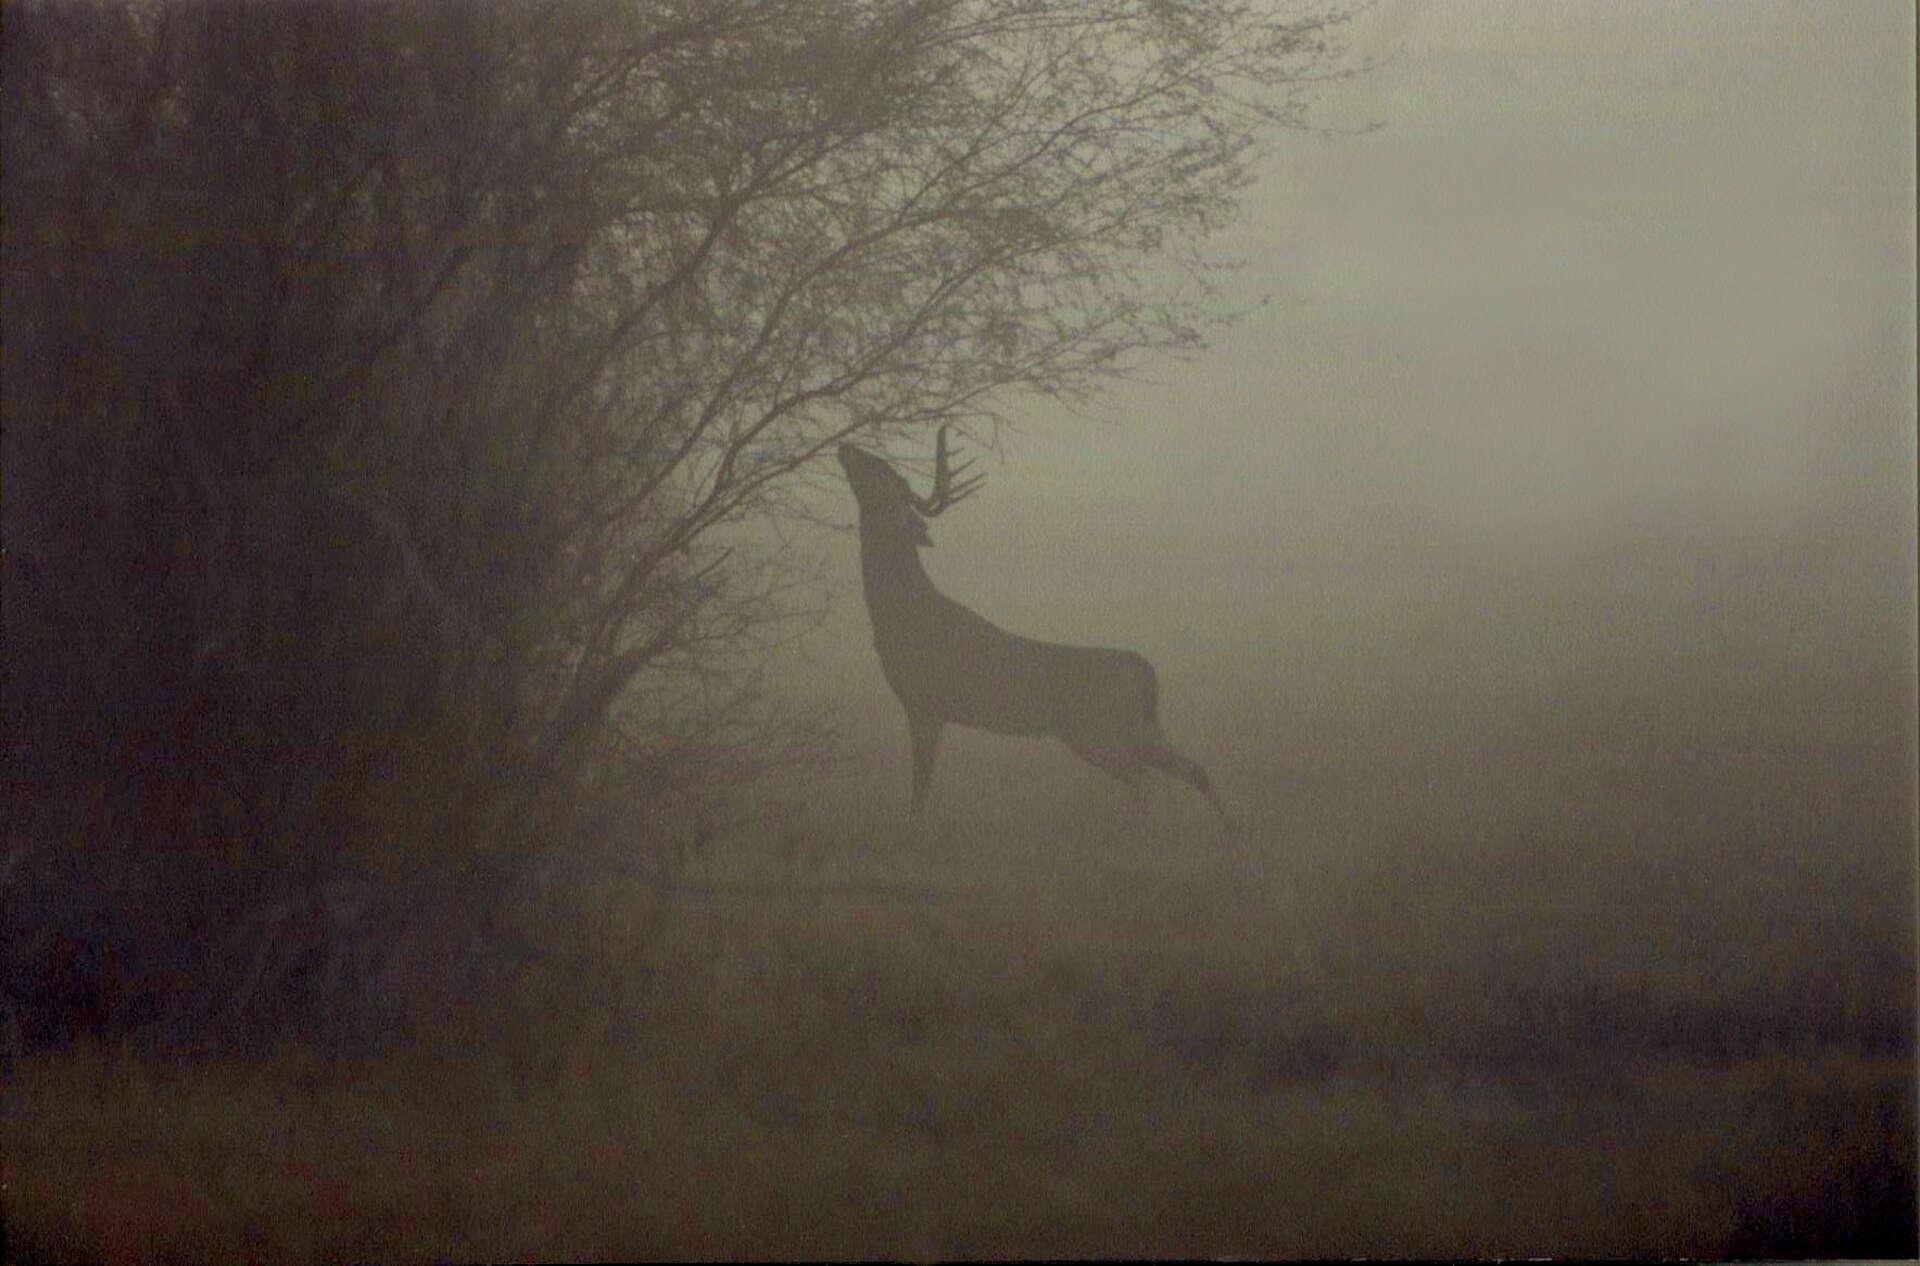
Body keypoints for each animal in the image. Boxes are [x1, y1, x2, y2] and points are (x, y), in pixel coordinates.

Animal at [837, 427, 1227, 826]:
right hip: (1137, 727)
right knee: (1193, 769)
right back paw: (1230, 833)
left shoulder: (925, 702)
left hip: (1094, 729)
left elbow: (918, 799)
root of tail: (1146, 672)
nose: (847, 447)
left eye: (885, 473)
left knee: (1143, 777)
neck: (901, 614)